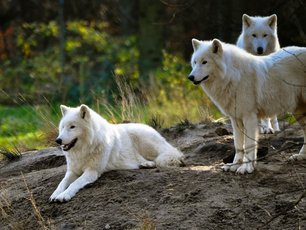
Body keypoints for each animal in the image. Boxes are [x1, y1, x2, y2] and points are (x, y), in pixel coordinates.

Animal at [50, 104, 184, 201]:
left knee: (164, 156)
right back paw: (144, 164)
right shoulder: (72, 171)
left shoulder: (92, 171)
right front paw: (55, 194)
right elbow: (62, 183)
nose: (58, 140)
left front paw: (64, 195)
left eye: (72, 127)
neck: (84, 149)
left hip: (143, 139)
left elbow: (74, 183)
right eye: (62, 127)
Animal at [188, 38, 306, 174]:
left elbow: (249, 145)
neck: (233, 75)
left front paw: (246, 168)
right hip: (298, 112)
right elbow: (238, 145)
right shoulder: (235, 119)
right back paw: (301, 156)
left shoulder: (249, 117)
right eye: (195, 62)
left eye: (204, 62)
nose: (190, 77)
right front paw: (234, 165)